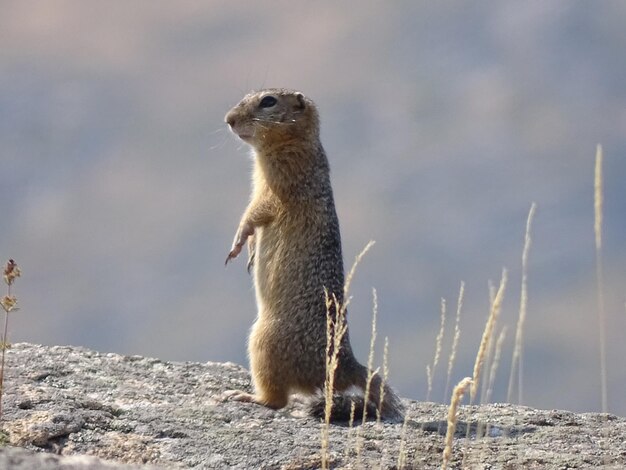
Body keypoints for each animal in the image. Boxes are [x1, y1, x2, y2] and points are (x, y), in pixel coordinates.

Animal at [222, 88, 402, 422]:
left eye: (268, 101)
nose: (228, 119)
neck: (297, 142)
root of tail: (346, 366)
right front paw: (249, 252)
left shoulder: (277, 186)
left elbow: (254, 214)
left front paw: (238, 242)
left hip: (263, 341)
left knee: (277, 399)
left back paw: (246, 396)